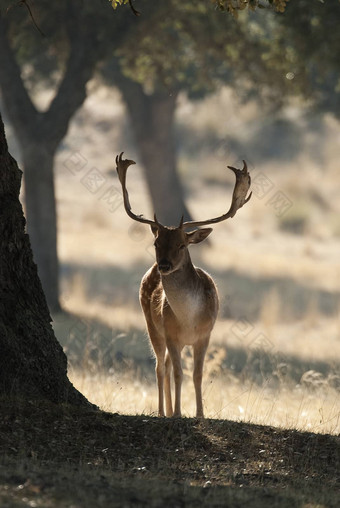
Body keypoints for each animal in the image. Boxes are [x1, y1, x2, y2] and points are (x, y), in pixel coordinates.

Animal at [115, 153, 251, 418]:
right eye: (156, 243)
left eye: (181, 244)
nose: (164, 265)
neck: (188, 319)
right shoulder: (171, 334)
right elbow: (178, 373)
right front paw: (178, 413)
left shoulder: (205, 335)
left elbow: (197, 375)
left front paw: (199, 413)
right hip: (152, 325)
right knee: (160, 366)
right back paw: (163, 411)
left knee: (166, 365)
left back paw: (168, 410)